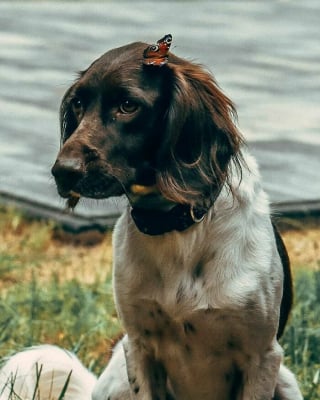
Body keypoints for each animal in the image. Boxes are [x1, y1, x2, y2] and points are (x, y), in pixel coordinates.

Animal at [51, 35, 302, 400]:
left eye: (128, 105)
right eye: (79, 105)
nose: (62, 172)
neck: (177, 228)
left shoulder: (262, 356)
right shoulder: (139, 347)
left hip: (285, 380)